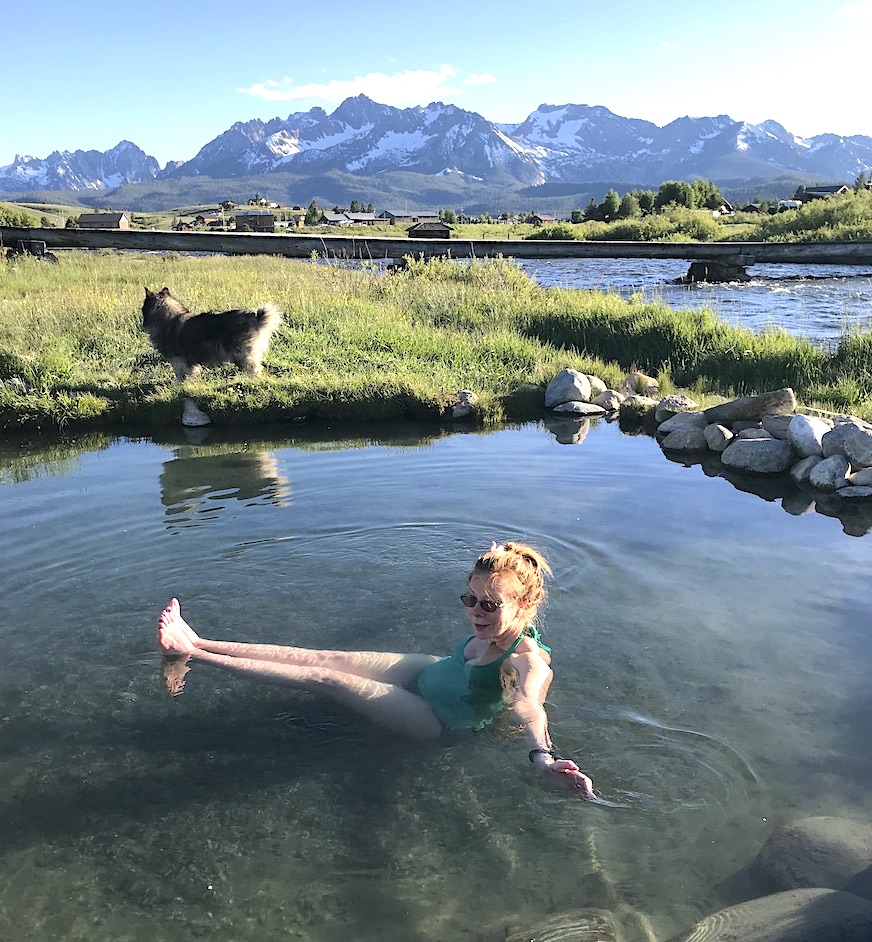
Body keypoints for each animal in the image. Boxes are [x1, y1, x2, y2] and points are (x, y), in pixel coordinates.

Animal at [141, 286, 282, 382]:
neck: (168, 319)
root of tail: (255, 317)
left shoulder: (178, 359)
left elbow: (181, 375)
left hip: (242, 354)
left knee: (254, 368)